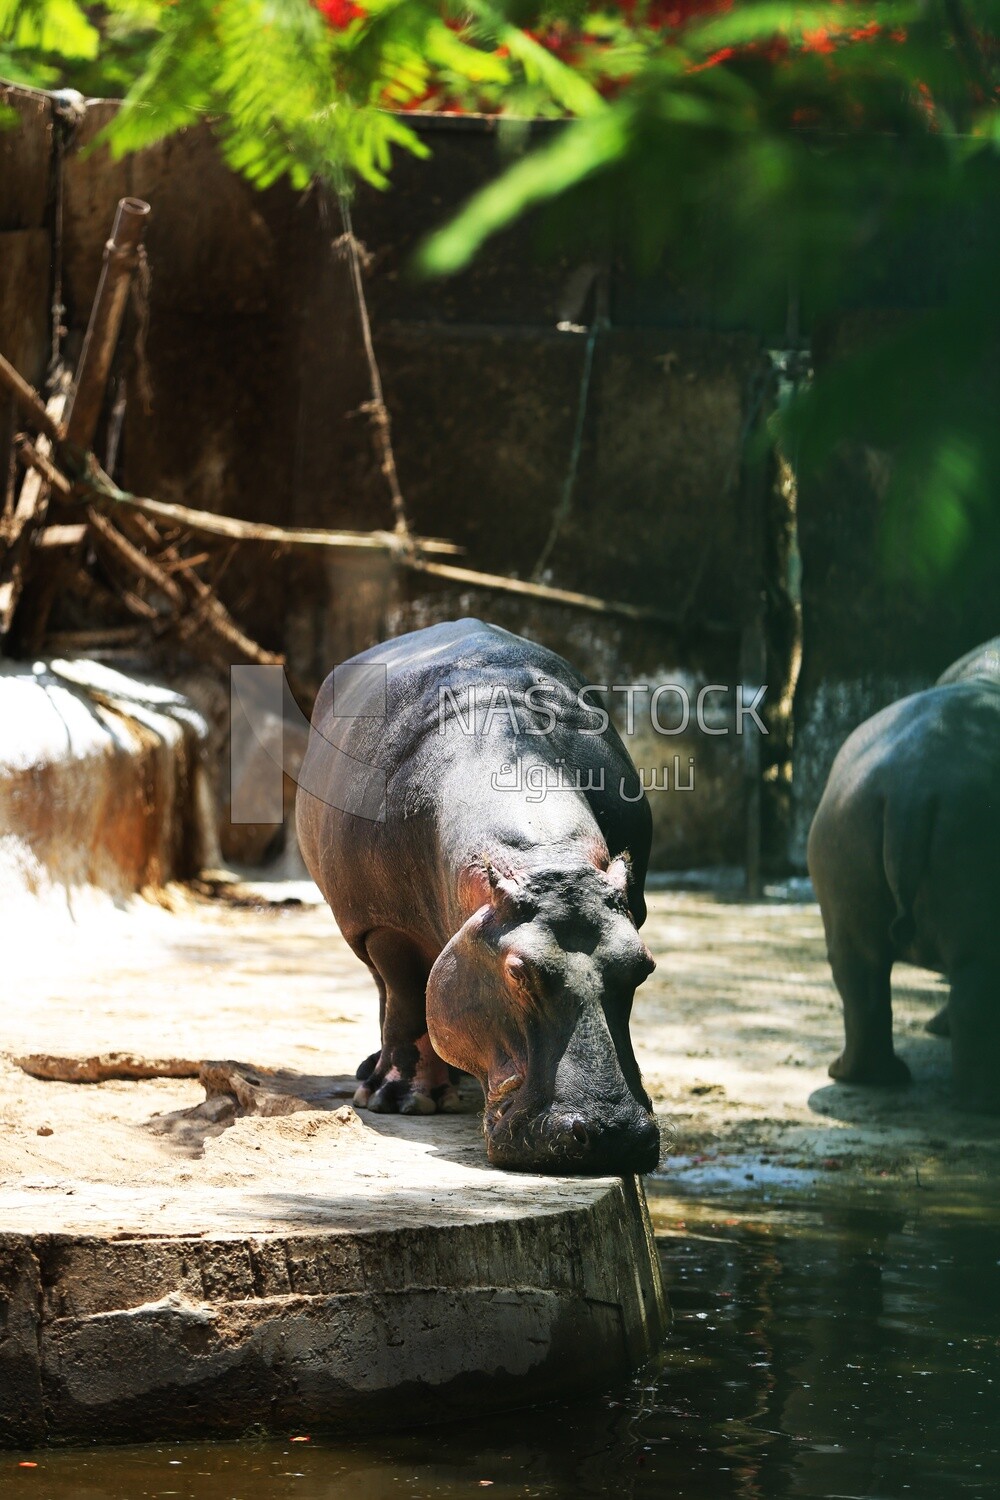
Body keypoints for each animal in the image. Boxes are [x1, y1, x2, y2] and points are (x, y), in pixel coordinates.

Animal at [293, 618, 659, 1170]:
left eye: (643, 966)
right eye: (518, 972)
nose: (613, 1135)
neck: (547, 859)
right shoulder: (385, 926)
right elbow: (408, 998)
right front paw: (401, 1101)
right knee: (387, 992)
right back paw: (373, 1076)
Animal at [803, 636, 1000, 1116]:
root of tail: (912, 784)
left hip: (842, 854)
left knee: (861, 987)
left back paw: (861, 1075)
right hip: (978, 909)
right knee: (974, 999)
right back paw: (982, 1099)